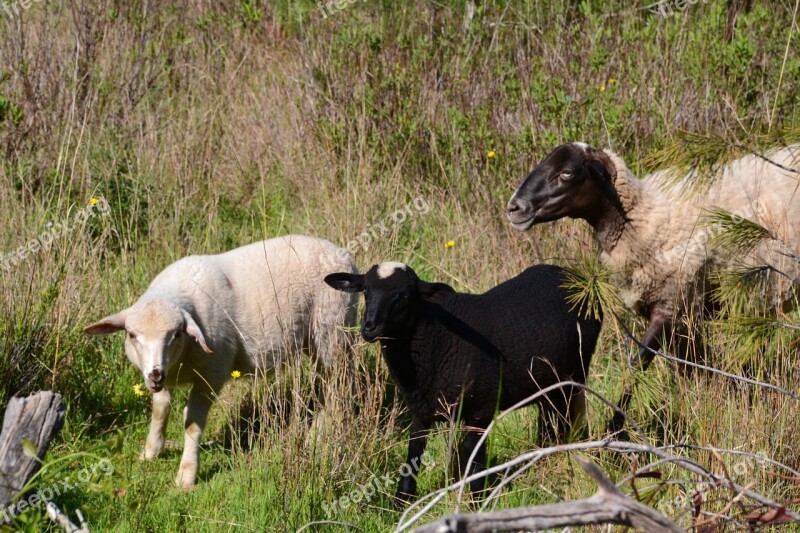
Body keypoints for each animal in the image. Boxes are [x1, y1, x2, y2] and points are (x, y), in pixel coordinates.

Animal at [84, 233, 356, 486]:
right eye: (131, 335)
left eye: (176, 334)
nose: (155, 375)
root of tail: (342, 253)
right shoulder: (166, 377)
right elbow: (160, 409)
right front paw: (151, 451)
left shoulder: (213, 374)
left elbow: (192, 422)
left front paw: (187, 475)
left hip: (333, 333)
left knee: (340, 386)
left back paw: (318, 435)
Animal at [324, 262, 600, 502]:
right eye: (365, 291)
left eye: (404, 296)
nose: (369, 328)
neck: (434, 339)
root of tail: (568, 272)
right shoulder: (420, 408)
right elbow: (414, 453)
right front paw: (400, 502)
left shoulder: (481, 409)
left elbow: (472, 455)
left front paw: (477, 502)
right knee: (549, 419)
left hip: (575, 372)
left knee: (563, 417)